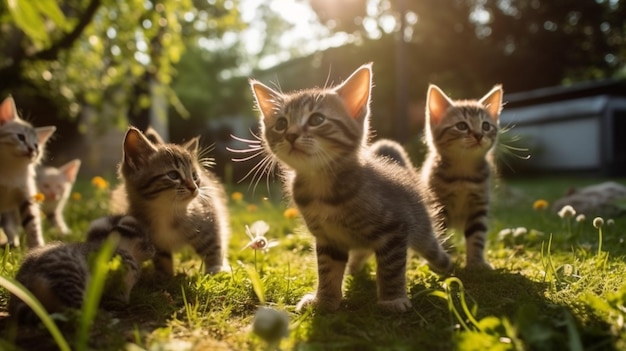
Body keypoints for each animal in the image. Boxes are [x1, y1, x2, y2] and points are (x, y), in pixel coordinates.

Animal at [0, 97, 55, 249]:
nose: (31, 149)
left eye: (36, 146)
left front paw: (37, 247)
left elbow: (32, 224)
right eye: (21, 137)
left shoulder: (26, 195)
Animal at [8, 214, 155, 324]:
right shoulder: (121, 264)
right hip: (69, 272)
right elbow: (121, 287)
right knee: (75, 307)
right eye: (146, 239)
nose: (154, 249)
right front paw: (121, 301)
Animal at [114, 126, 229, 278]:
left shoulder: (208, 219)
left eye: (194, 176)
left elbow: (213, 246)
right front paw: (164, 276)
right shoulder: (154, 241)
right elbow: (162, 258)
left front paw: (215, 269)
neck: (165, 212)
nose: (194, 187)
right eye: (173, 175)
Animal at [245, 63, 448, 314]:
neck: (321, 187)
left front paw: (392, 299)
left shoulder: (396, 228)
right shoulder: (328, 238)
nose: (290, 135)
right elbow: (328, 270)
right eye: (281, 124)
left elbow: (391, 268)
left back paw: (449, 265)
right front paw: (324, 300)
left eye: (317, 119)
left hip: (421, 229)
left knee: (431, 247)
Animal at [420, 84, 502, 270]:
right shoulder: (438, 205)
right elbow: (440, 233)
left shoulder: (479, 204)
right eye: (462, 126)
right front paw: (441, 260)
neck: (463, 176)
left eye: (486, 126)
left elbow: (477, 235)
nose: (479, 135)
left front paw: (476, 262)